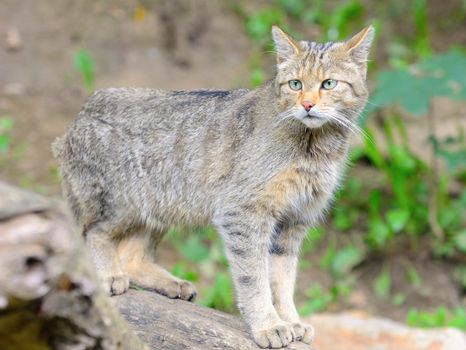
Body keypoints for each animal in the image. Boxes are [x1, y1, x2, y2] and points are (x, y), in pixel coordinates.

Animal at [53, 26, 374, 348]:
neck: (314, 148)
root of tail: (80, 113)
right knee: (93, 232)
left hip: (161, 206)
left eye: (328, 83)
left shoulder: (294, 220)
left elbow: (283, 279)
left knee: (132, 255)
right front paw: (268, 325)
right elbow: (254, 277)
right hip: (122, 202)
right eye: (295, 84)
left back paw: (169, 282)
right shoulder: (242, 213)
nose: (307, 104)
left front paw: (290, 319)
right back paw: (108, 275)